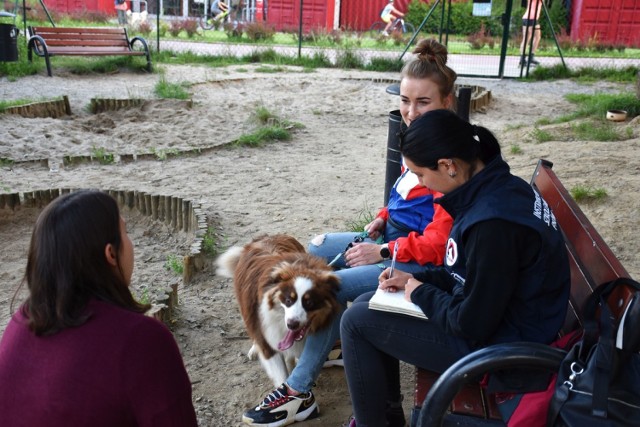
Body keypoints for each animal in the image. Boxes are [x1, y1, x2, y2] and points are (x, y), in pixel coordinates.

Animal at [216, 234, 340, 388]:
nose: (292, 324)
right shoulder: (267, 338)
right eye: (288, 300)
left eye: (310, 303)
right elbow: (280, 374)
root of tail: (265, 236)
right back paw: (254, 349)